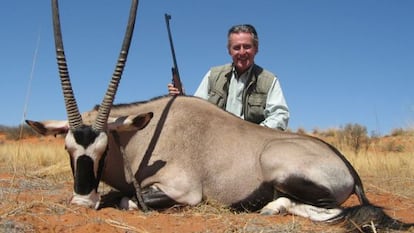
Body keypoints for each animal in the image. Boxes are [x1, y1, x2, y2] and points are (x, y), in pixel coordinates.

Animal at [27, 0, 412, 231]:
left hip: (280, 166)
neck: (141, 137)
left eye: (103, 149)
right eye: (68, 149)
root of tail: (346, 165)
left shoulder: (182, 192)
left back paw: (270, 208)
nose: (81, 201)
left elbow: (125, 200)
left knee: (332, 210)